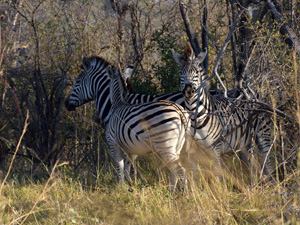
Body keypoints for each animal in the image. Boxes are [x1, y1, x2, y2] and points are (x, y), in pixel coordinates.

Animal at [171, 44, 272, 180]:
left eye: (197, 72)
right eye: (180, 73)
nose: (188, 91)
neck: (196, 117)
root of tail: (251, 92)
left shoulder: (215, 149)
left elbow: (217, 176)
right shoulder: (192, 151)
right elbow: (195, 176)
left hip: (264, 134)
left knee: (267, 162)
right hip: (244, 142)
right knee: (253, 165)